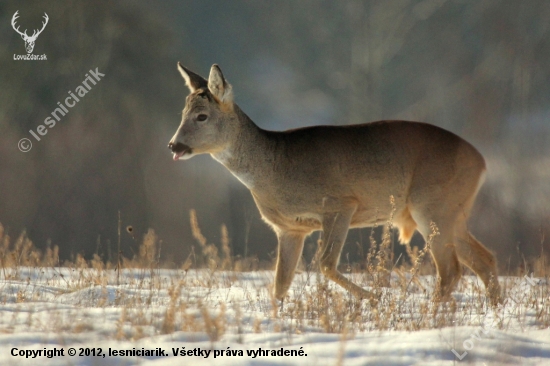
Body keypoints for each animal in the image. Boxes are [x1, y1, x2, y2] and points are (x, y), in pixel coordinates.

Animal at [170, 64, 502, 304]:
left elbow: (325, 263)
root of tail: (482, 162)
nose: (174, 145)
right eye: (182, 113)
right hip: (451, 211)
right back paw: (492, 309)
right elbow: (280, 284)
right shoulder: (289, 228)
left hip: (432, 205)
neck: (272, 167)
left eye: (202, 116)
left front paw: (373, 297)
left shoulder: (340, 205)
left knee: (451, 268)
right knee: (483, 259)